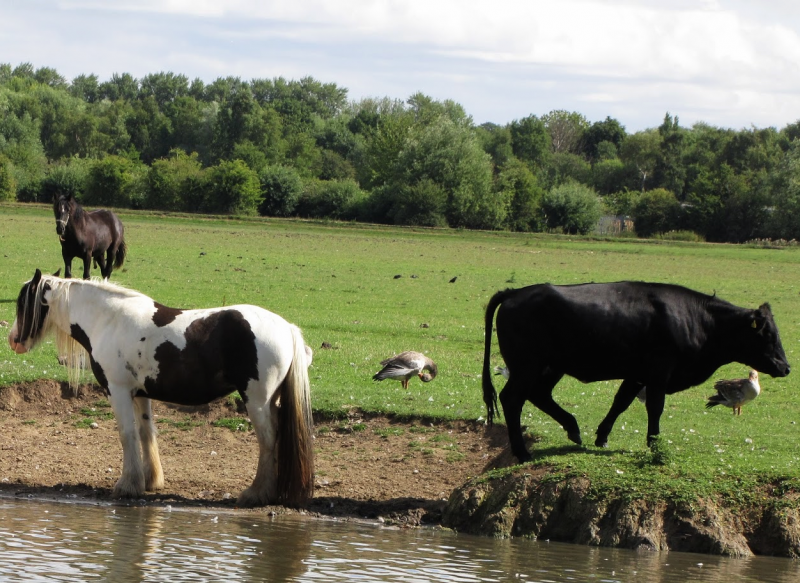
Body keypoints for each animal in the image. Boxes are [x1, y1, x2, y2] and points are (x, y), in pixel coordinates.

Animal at [9, 272, 318, 508]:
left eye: (23, 303)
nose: (13, 340)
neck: (109, 320)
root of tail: (286, 328)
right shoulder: (139, 395)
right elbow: (146, 433)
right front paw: (149, 480)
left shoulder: (118, 392)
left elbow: (127, 435)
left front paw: (126, 485)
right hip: (269, 401)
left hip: (257, 401)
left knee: (268, 440)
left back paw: (256, 494)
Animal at [484, 280, 792, 464]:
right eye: (767, 335)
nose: (786, 367)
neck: (697, 319)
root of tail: (515, 292)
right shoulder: (658, 373)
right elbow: (655, 408)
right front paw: (655, 445)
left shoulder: (636, 375)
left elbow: (620, 402)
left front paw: (602, 437)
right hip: (527, 367)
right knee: (512, 399)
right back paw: (522, 452)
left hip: (549, 368)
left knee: (539, 395)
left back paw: (572, 428)